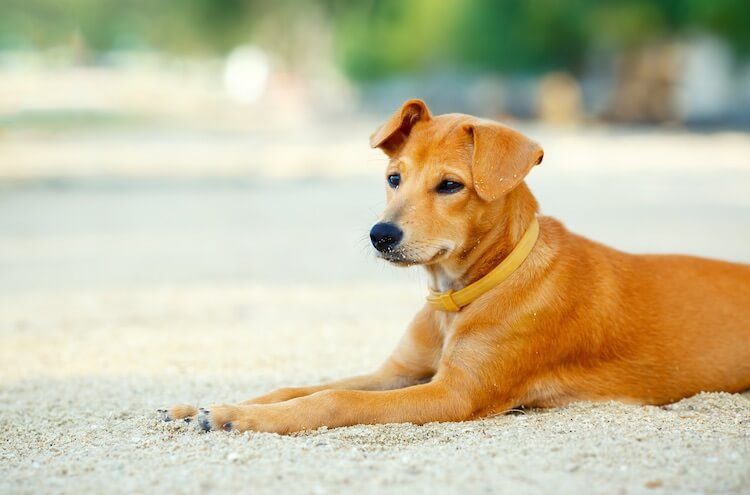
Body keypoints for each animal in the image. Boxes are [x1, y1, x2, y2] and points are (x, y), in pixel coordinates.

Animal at [164, 99, 750, 432]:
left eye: (450, 186)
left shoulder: (455, 393)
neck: (459, 295)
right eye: (394, 178)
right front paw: (206, 406)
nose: (381, 236)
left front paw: (238, 416)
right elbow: (302, 387)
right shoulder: (399, 373)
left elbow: (333, 400)